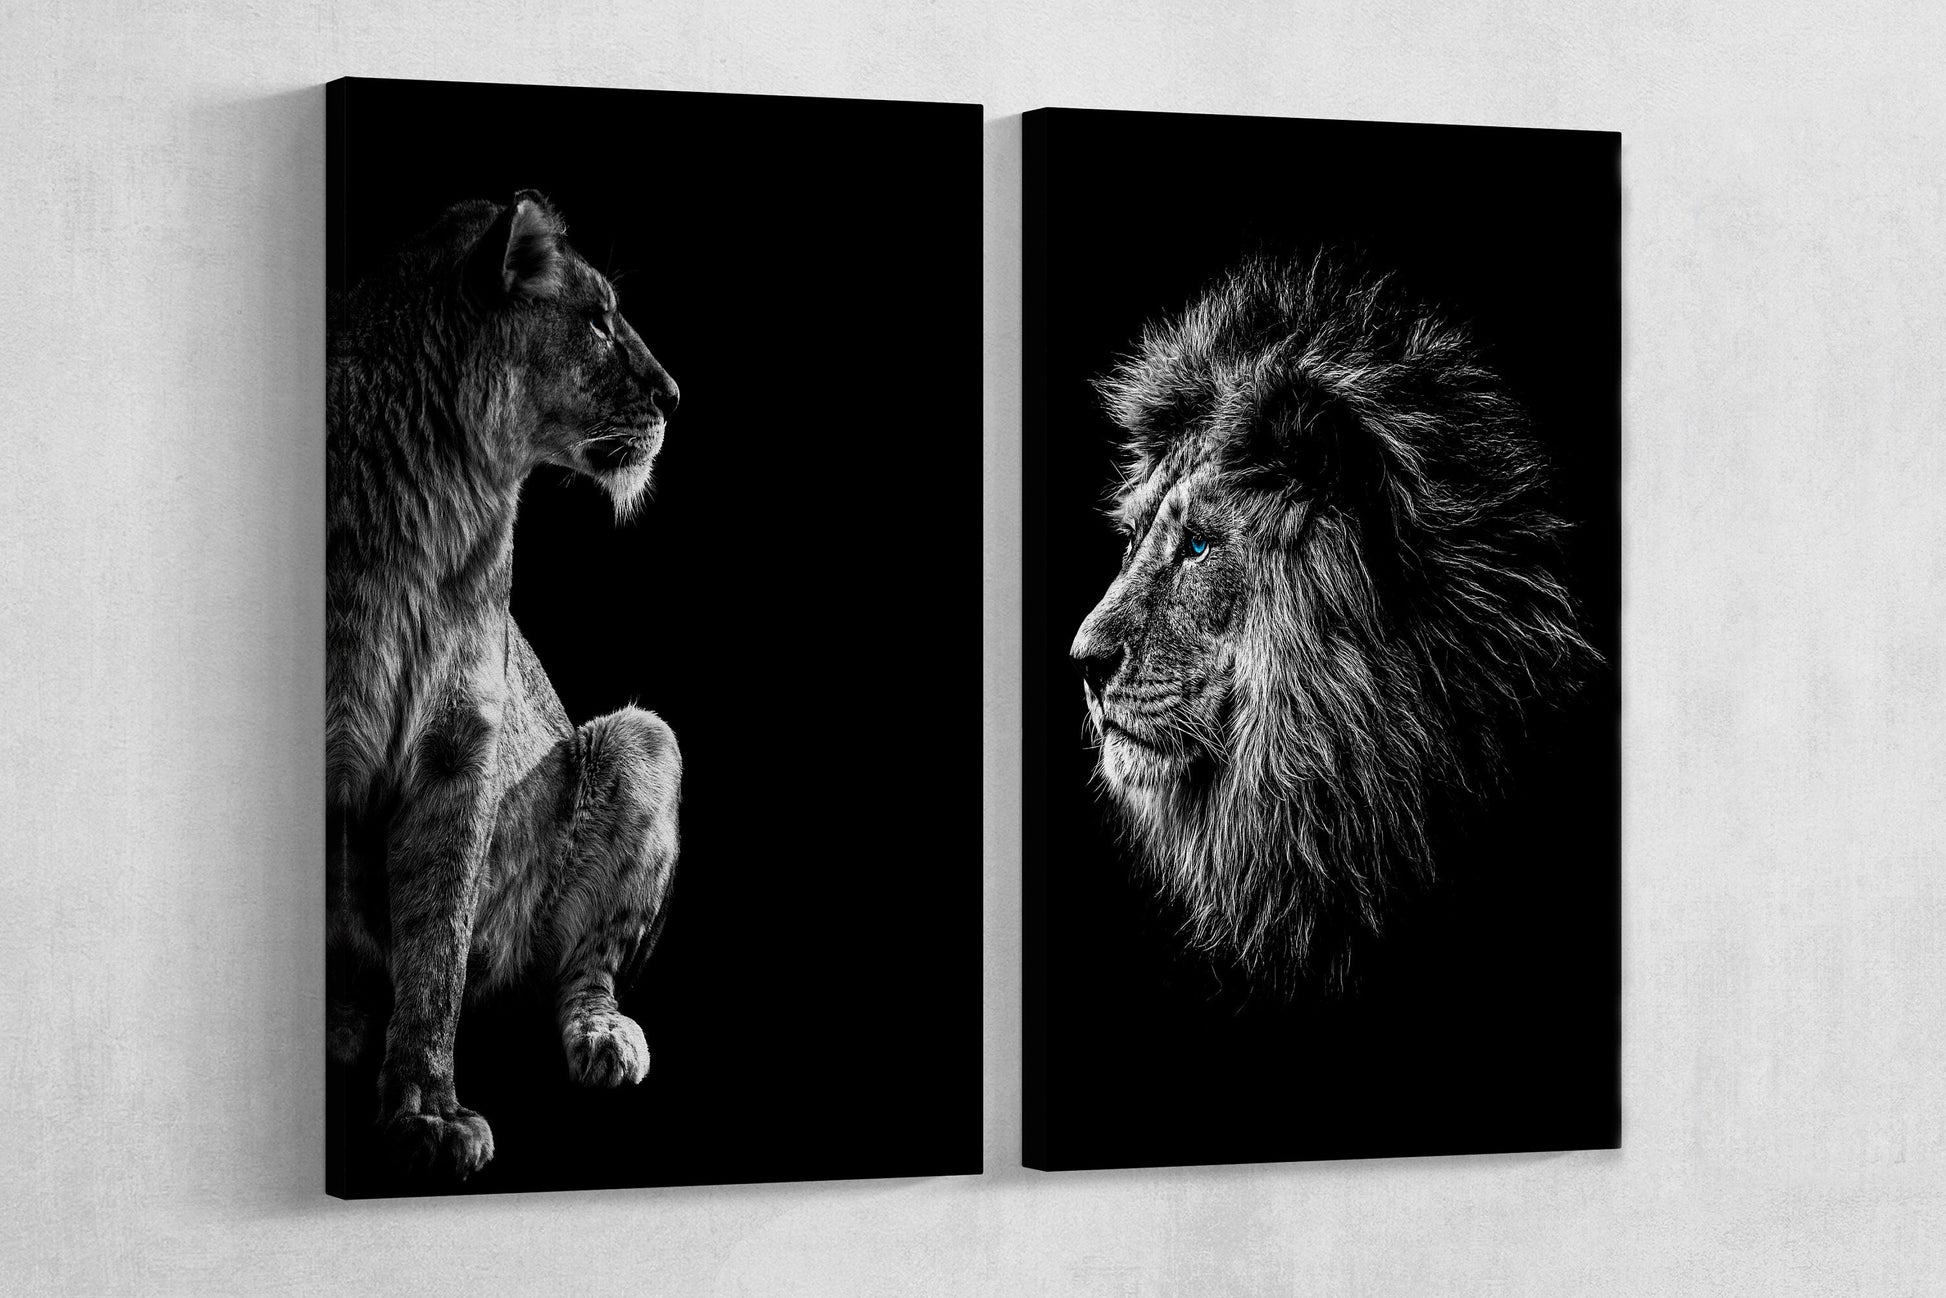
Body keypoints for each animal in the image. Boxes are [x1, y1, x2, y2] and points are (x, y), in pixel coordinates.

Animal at [327, 191, 683, 1180]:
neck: (442, 494)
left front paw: (427, 1108)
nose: (675, 396)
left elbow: (438, 942)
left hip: (645, 740)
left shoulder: (461, 745)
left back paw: (603, 1038)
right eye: (597, 319)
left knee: (576, 972)